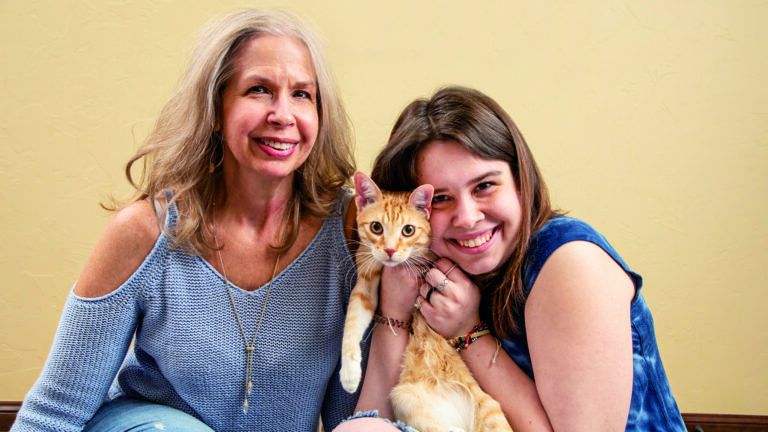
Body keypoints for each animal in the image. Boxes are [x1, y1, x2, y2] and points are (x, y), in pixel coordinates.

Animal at [340, 172, 510, 432]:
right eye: (376, 227)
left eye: (408, 230)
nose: (390, 250)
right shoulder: (365, 283)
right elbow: (353, 320)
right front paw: (349, 374)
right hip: (408, 401)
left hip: (490, 411)